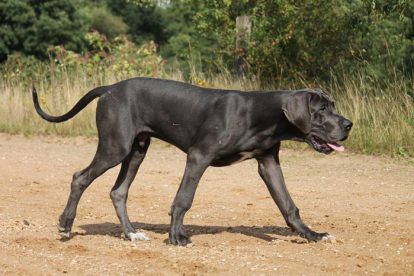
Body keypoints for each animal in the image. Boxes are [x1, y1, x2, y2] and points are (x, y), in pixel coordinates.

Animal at [31, 77, 352, 246]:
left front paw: (312, 234)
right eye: (322, 110)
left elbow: (289, 205)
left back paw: (132, 233)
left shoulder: (268, 163)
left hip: (137, 150)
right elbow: (183, 199)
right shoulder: (199, 156)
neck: (261, 114)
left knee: (118, 192)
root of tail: (109, 87)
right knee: (80, 177)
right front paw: (176, 236)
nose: (349, 124)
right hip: (115, 147)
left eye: (332, 106)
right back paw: (66, 226)